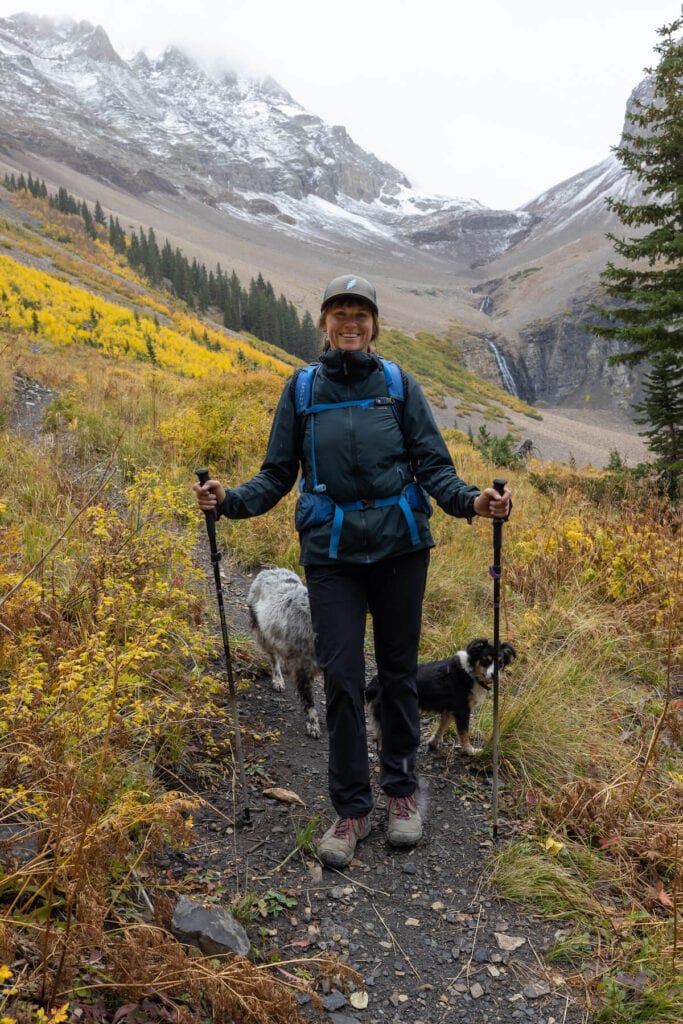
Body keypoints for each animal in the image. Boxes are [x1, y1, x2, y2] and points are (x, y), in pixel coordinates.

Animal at [246, 569, 321, 737]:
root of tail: (268, 571)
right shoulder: (304, 667)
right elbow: (309, 700)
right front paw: (313, 724)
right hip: (263, 634)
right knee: (274, 658)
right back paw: (278, 679)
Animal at [366, 634, 516, 757]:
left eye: (500, 662)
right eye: (486, 659)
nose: (494, 674)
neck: (471, 672)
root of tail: (376, 681)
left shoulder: (450, 709)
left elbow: (442, 727)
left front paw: (433, 743)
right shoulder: (462, 710)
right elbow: (464, 734)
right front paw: (470, 751)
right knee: (380, 739)